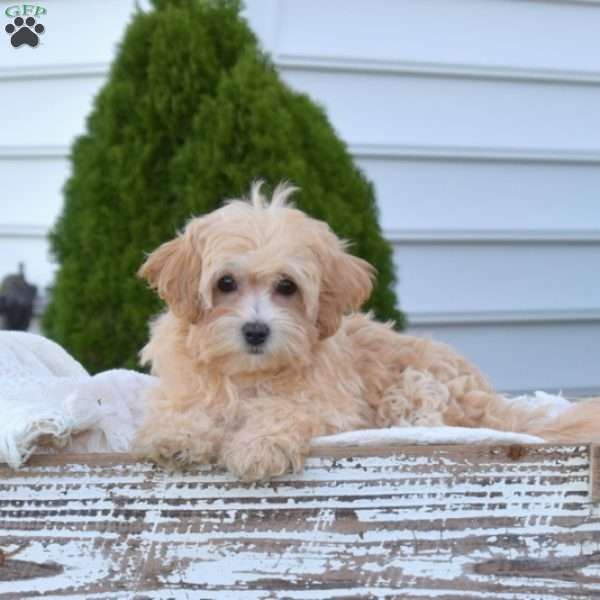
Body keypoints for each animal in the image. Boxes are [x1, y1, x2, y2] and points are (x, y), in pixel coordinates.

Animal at [135, 180, 600, 480]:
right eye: (225, 283)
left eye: (286, 286)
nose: (255, 331)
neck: (251, 375)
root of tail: (495, 403)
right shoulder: (187, 388)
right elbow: (185, 409)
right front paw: (178, 436)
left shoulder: (333, 407)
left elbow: (288, 411)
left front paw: (258, 446)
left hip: (418, 386)